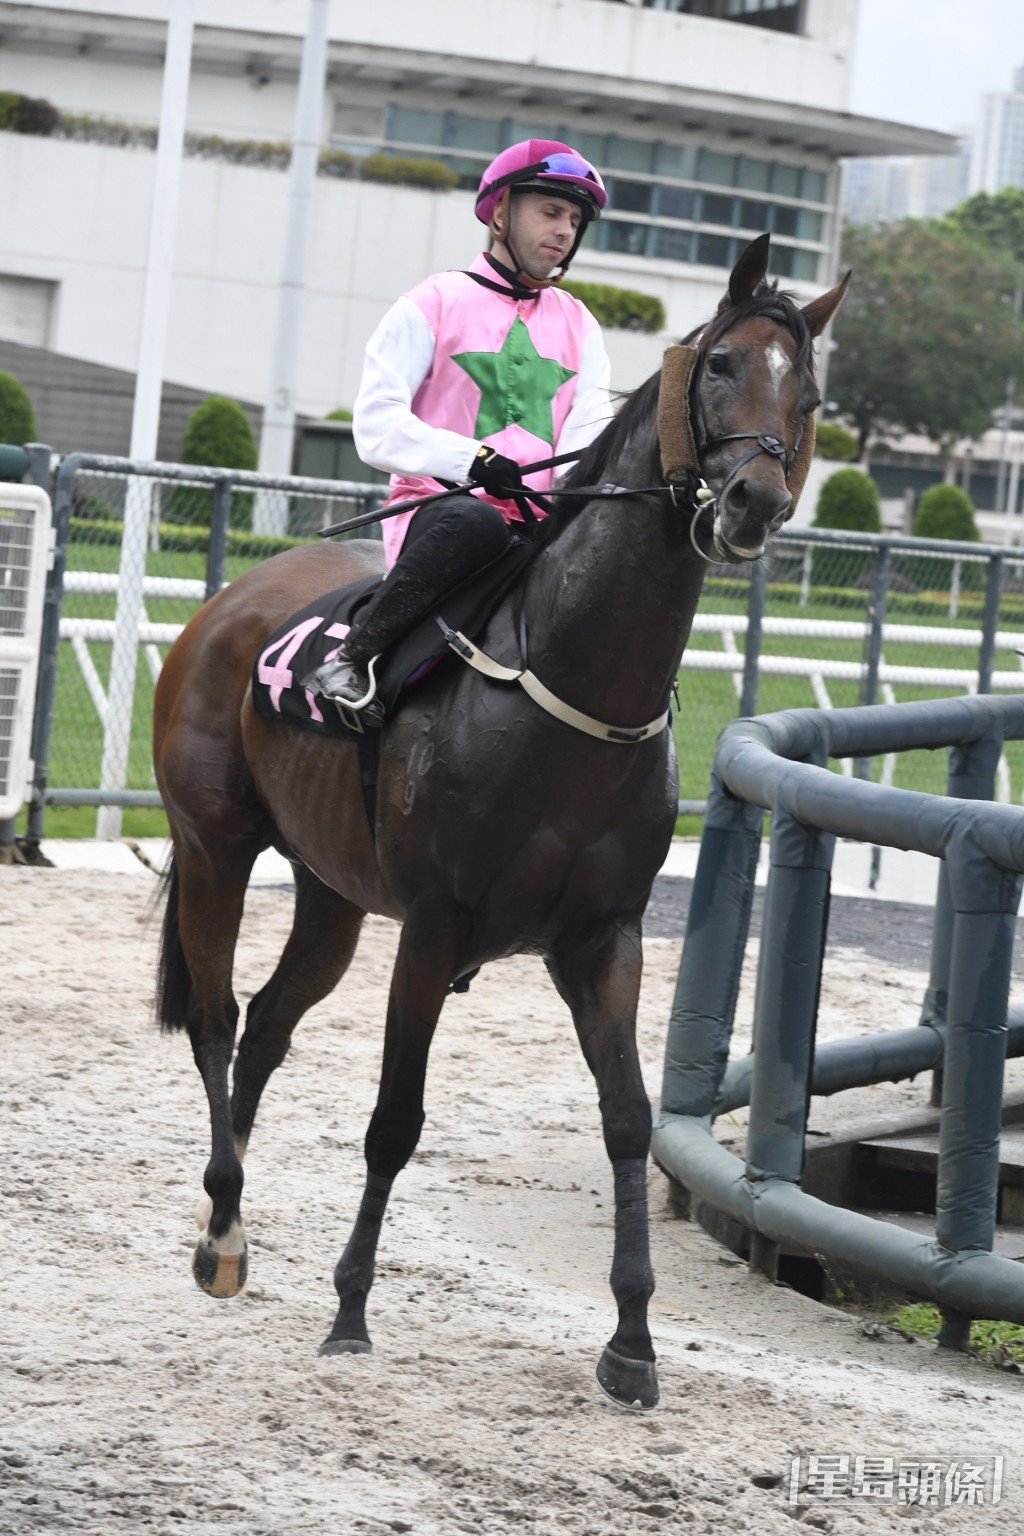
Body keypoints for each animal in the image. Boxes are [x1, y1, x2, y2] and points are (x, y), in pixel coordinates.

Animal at [150, 233, 841, 1406]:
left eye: (812, 393)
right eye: (718, 364)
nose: (754, 500)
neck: (574, 684)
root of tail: (224, 609)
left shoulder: (603, 942)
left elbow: (628, 1120)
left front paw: (633, 1342)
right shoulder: (433, 931)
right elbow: (395, 1120)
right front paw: (350, 1310)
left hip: (332, 898)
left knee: (270, 1028)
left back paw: (220, 1224)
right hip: (216, 849)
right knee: (216, 1019)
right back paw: (227, 1232)